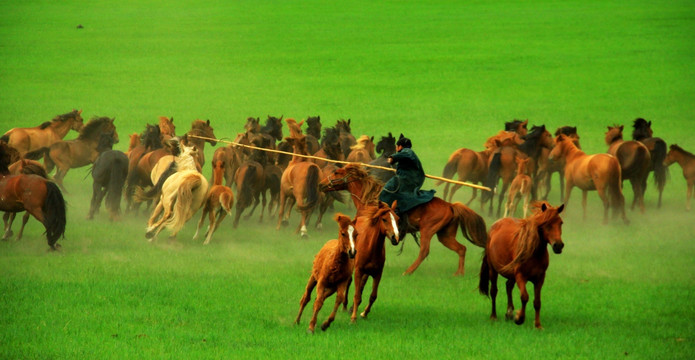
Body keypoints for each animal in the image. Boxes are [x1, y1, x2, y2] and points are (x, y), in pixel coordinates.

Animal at [318, 164, 486, 276]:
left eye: (336, 172)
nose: (320, 184)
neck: (369, 200)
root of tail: (451, 205)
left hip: (428, 230)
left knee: (424, 251)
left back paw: (408, 272)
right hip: (445, 235)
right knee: (461, 249)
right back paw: (459, 273)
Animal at [482, 202, 568, 330]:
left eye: (560, 222)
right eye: (546, 223)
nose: (558, 245)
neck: (534, 252)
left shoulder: (539, 278)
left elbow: (537, 302)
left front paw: (538, 325)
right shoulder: (520, 276)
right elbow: (524, 297)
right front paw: (519, 318)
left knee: (508, 286)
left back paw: (509, 313)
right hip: (493, 270)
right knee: (494, 291)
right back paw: (494, 316)